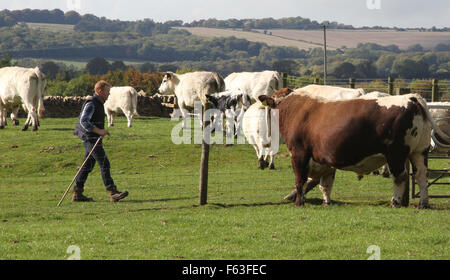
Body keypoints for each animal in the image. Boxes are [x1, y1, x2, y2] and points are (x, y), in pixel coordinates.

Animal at [258, 89, 450, 208]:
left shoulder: (299, 153)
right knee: (421, 176)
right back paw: (424, 203)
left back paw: (395, 202)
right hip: (419, 152)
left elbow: (300, 181)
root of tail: (411, 97)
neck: (293, 108)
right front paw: (326, 202)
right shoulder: (325, 161)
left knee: (400, 177)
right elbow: (325, 185)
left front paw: (299, 202)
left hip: (396, 153)